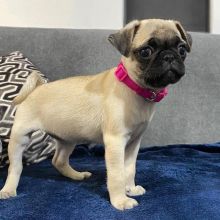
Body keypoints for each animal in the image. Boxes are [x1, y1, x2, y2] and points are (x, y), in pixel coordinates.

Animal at [0, 19, 191, 211]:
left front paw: (130, 188)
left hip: (68, 138)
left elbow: (129, 169)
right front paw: (120, 200)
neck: (134, 87)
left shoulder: (133, 143)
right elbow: (117, 174)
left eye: (182, 49)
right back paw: (9, 189)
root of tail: (37, 88)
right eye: (146, 52)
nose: (169, 56)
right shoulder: (116, 141)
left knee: (58, 160)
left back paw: (76, 176)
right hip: (20, 136)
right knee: (15, 167)